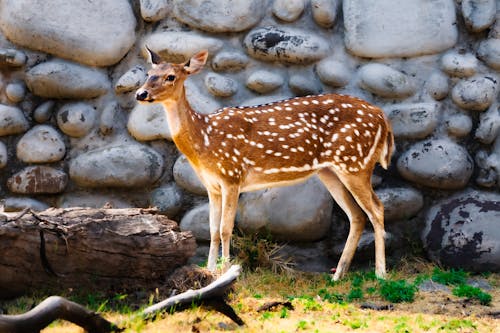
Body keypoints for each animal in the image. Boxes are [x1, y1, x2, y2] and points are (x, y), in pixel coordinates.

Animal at [137, 48, 394, 278]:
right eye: (149, 72)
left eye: (171, 76)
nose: (141, 93)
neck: (205, 140)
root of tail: (383, 118)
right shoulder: (212, 186)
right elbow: (211, 230)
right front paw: (209, 271)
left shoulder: (232, 175)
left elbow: (225, 229)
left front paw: (226, 270)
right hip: (330, 170)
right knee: (357, 216)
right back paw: (338, 275)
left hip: (356, 163)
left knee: (377, 209)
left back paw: (381, 274)